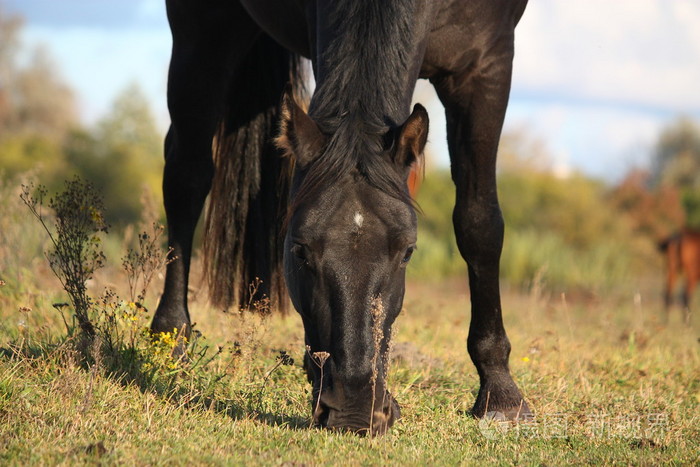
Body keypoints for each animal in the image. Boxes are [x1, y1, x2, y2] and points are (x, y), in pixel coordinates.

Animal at [152, 0, 530, 434]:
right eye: (299, 250)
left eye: (407, 252)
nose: (354, 407)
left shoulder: (486, 62)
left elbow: (479, 222)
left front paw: (501, 392)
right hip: (203, 29)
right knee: (187, 174)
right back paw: (171, 338)